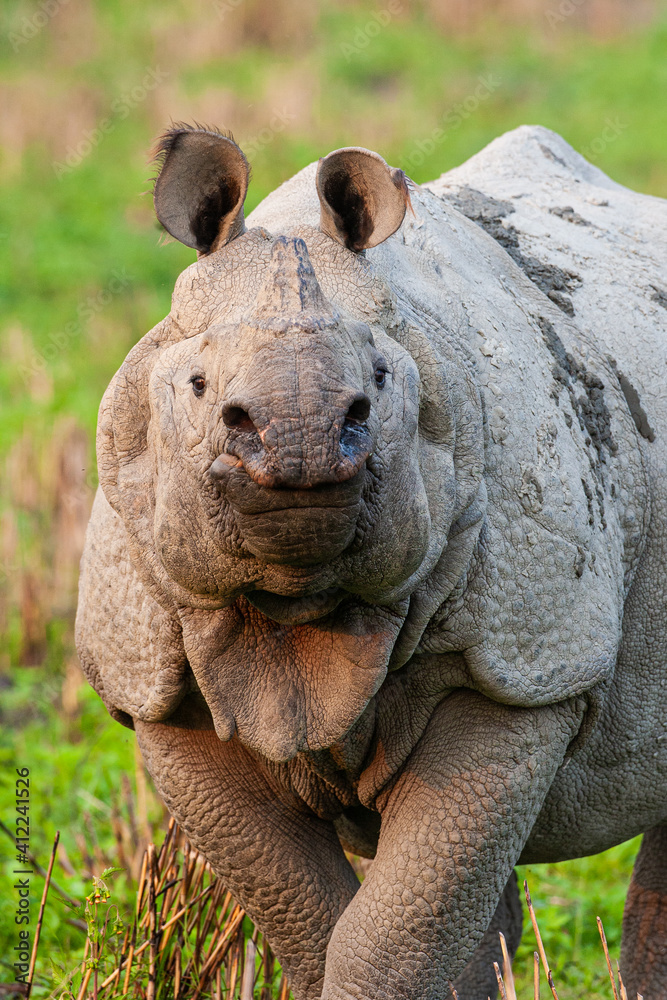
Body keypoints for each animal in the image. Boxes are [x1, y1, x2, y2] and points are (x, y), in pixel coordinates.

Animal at [76, 123, 667, 999]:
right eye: (198, 385)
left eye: (378, 382)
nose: (301, 441)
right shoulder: (152, 686)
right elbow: (311, 918)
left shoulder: (524, 668)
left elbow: (393, 933)